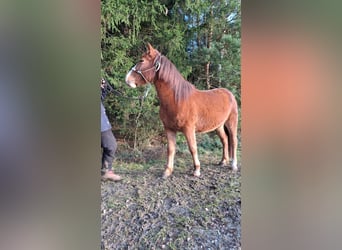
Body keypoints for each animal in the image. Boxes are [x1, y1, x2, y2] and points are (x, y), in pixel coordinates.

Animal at [125, 44, 238, 179]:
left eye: (141, 60)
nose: (127, 79)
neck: (177, 99)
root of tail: (229, 93)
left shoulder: (188, 129)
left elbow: (192, 148)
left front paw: (196, 170)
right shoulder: (169, 129)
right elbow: (171, 149)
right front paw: (167, 171)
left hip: (231, 123)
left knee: (233, 141)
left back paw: (233, 165)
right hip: (218, 126)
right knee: (224, 140)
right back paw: (223, 161)